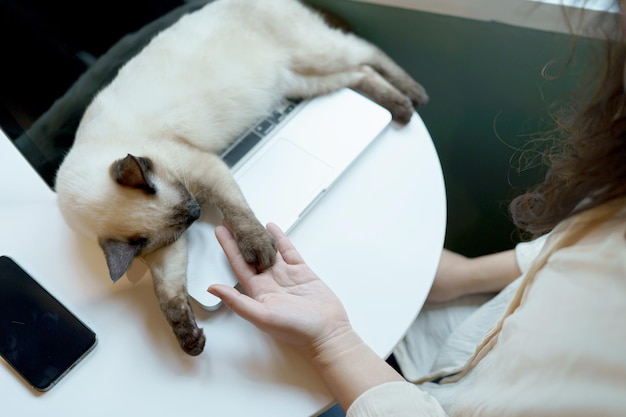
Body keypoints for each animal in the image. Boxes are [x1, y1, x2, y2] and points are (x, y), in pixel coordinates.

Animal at [54, 0, 428, 356]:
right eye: (186, 222)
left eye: (190, 205)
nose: (196, 212)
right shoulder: (166, 248)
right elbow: (169, 293)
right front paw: (189, 339)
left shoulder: (203, 170)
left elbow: (237, 213)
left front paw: (260, 251)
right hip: (304, 79)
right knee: (359, 73)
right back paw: (400, 106)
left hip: (316, 55)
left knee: (367, 52)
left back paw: (414, 97)